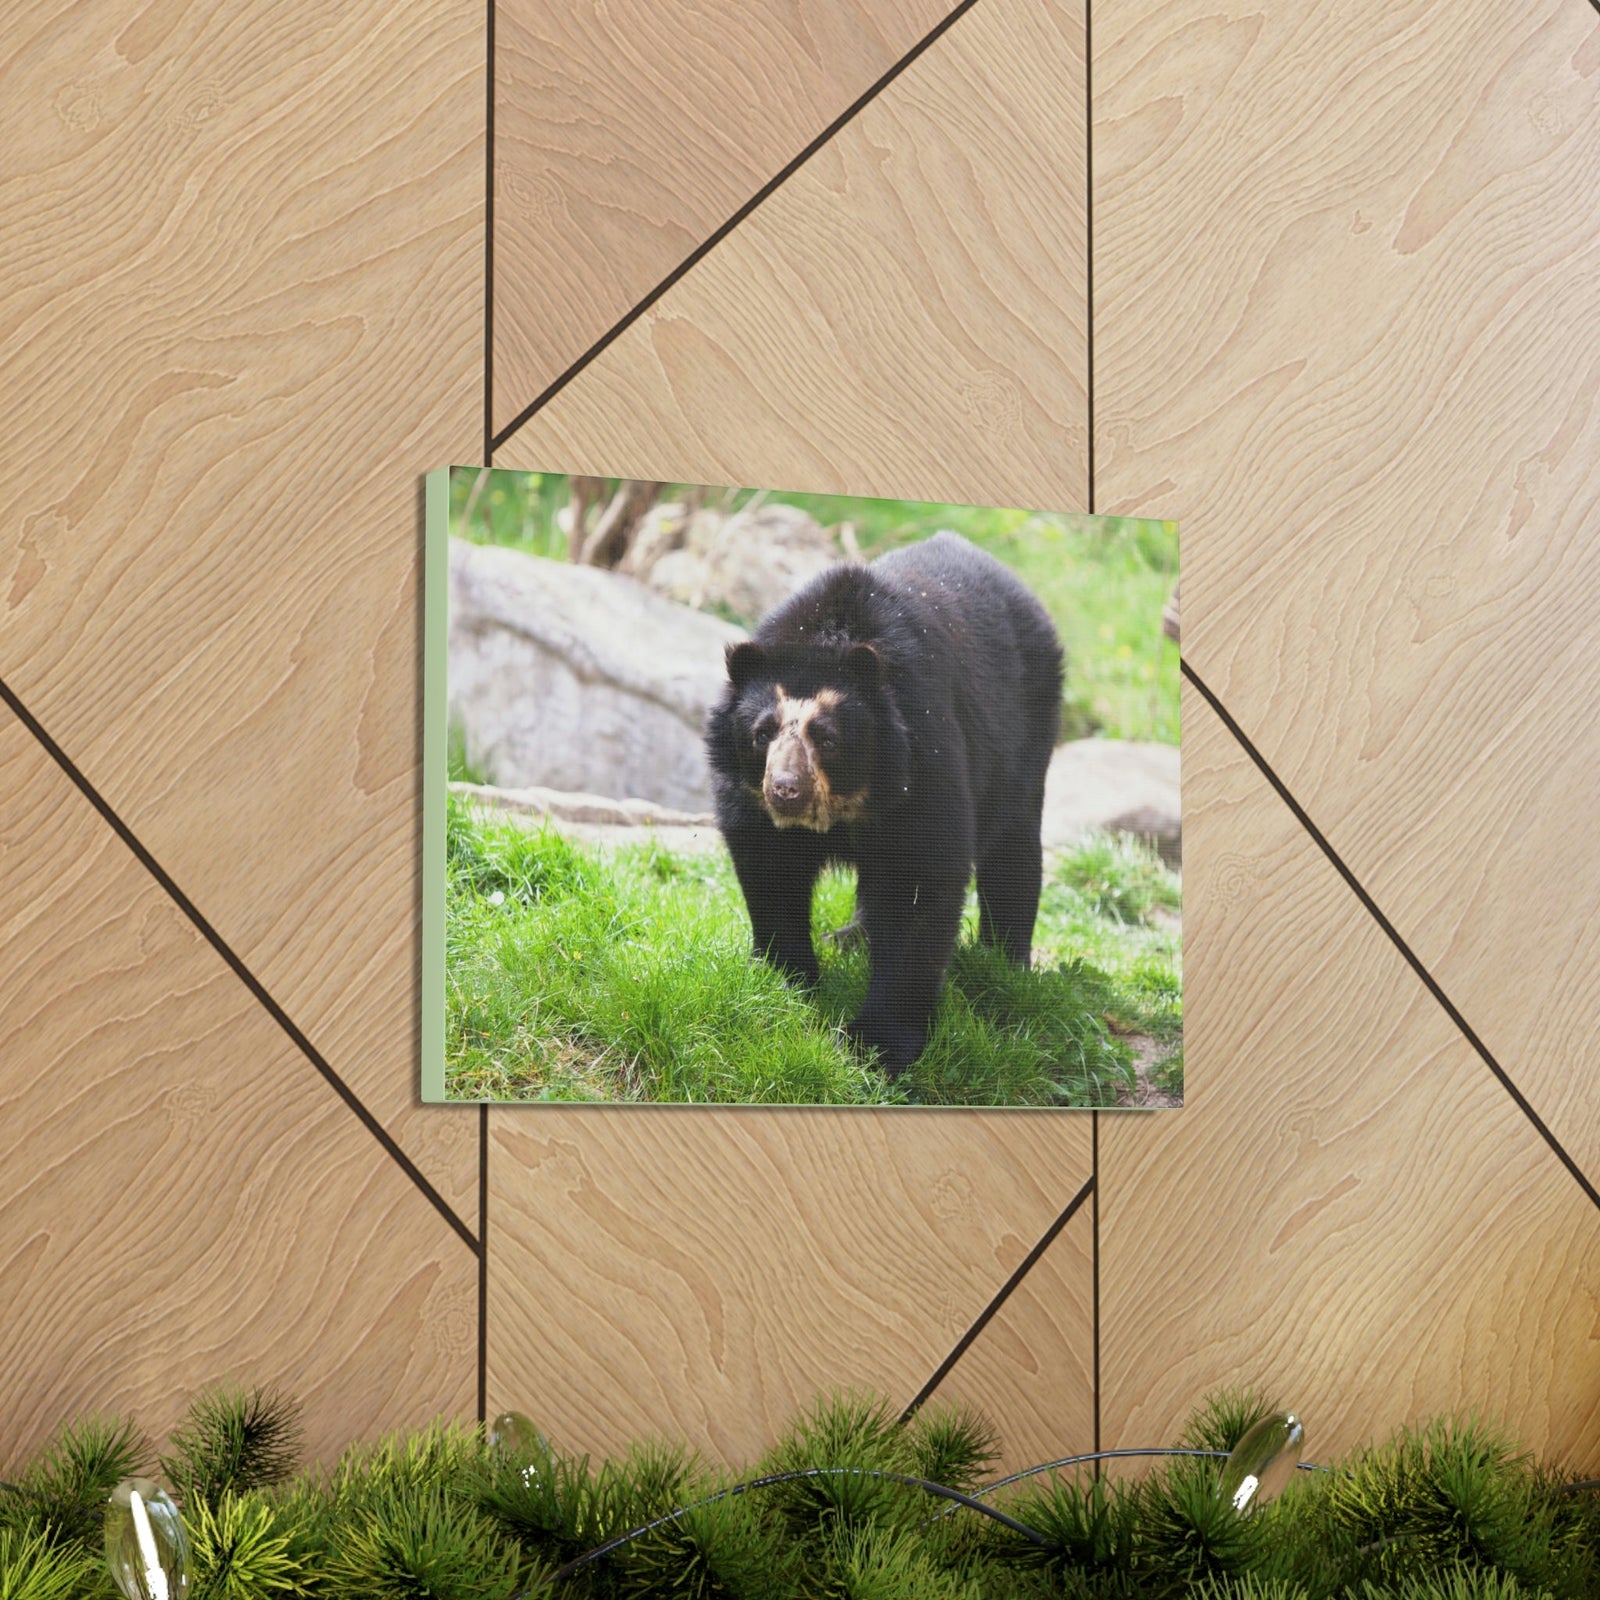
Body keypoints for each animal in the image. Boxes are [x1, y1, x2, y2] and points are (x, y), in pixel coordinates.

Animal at [704, 531, 1064, 1074]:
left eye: (827, 739)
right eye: (761, 734)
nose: (786, 790)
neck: (848, 801)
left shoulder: (921, 757)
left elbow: (921, 878)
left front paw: (878, 1044)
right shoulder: (750, 802)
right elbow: (770, 870)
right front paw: (786, 980)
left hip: (1027, 729)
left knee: (1014, 849)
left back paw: (1005, 962)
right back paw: (850, 937)